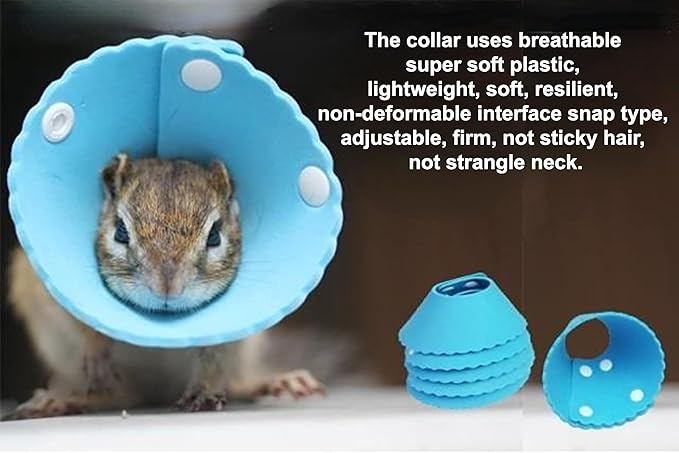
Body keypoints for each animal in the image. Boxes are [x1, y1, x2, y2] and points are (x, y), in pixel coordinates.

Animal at [5, 154, 324, 420]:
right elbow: (85, 327)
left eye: (214, 236)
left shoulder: (230, 337)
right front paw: (96, 355)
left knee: (236, 381)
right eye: (120, 232)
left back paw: (277, 382)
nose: (167, 286)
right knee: (119, 397)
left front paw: (203, 392)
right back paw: (62, 400)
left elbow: (214, 358)